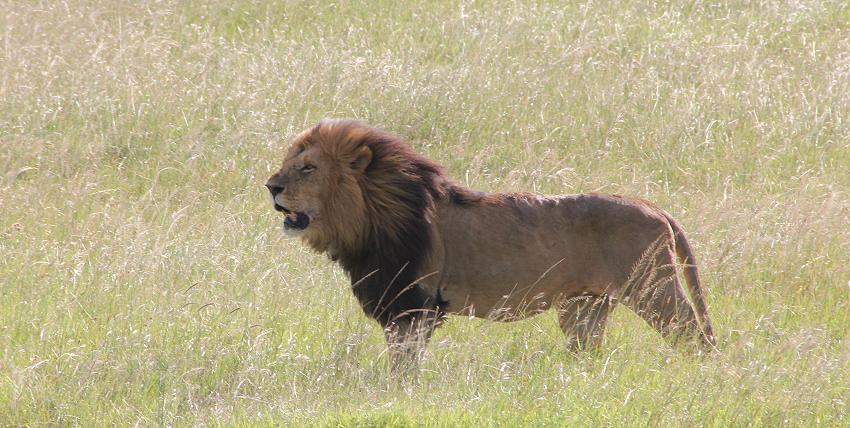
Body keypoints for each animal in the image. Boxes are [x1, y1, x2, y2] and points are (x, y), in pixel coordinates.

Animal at [264, 119, 716, 372]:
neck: (369, 218)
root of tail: (656, 208)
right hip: (585, 306)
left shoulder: (413, 305)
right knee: (589, 353)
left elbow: (404, 365)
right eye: (288, 164)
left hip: (654, 291)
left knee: (696, 337)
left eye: (307, 168)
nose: (270, 186)